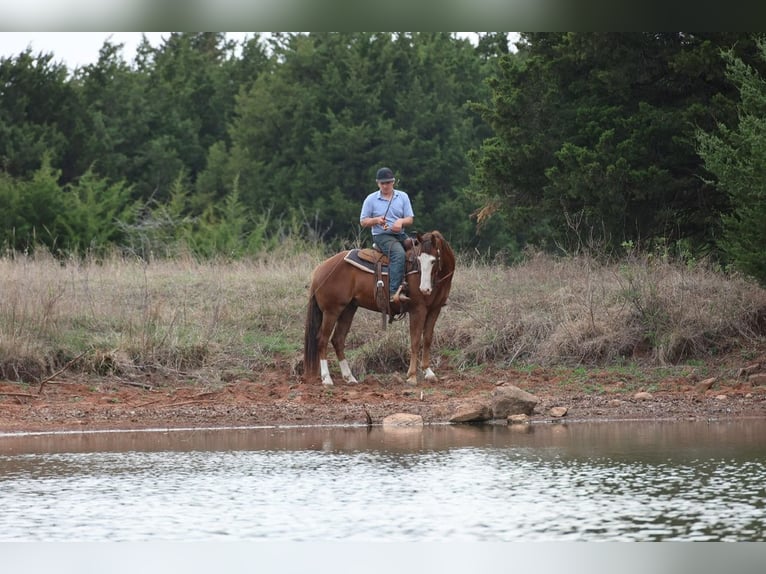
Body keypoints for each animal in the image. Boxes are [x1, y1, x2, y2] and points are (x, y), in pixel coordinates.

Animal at [303, 230, 455, 386]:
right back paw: (327, 378)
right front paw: (412, 376)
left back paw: (349, 377)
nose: (424, 289)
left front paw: (429, 372)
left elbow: (428, 339)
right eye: (418, 261)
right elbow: (415, 341)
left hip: (348, 309)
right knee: (322, 339)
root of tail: (320, 269)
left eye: (433, 260)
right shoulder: (418, 310)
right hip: (331, 311)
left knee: (338, 340)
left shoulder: (435, 309)